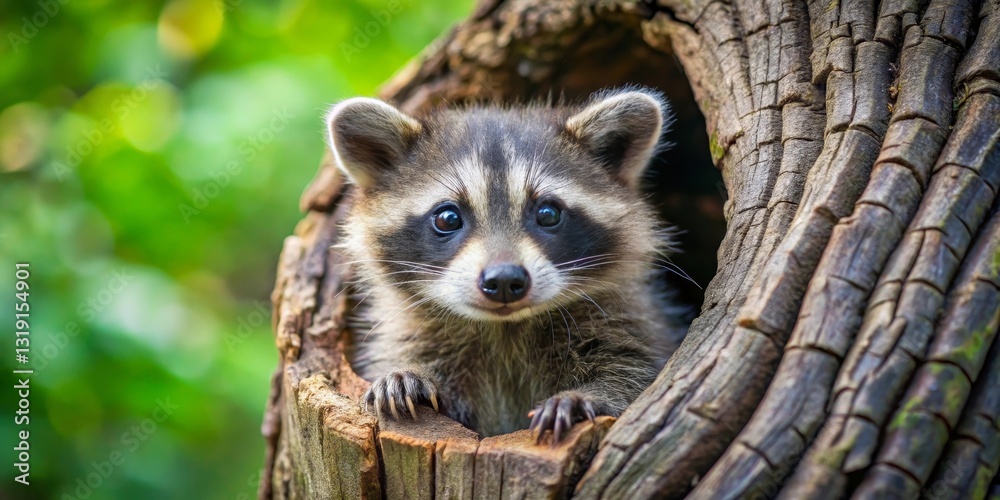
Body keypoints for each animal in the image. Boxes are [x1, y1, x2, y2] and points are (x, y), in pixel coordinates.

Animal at [326, 88, 687, 443]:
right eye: (448, 218)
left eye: (548, 214)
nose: (503, 280)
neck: (505, 328)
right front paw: (408, 374)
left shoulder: (631, 323)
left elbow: (634, 375)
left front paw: (587, 396)